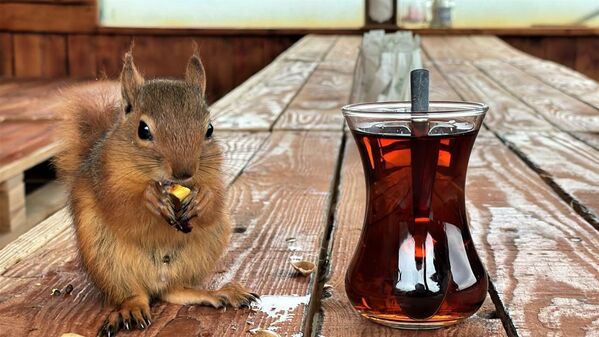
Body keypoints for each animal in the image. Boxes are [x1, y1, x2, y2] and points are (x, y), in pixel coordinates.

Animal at [52, 48, 256, 336]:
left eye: (210, 129)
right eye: (143, 129)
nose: (184, 173)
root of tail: (156, 281)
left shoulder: (213, 174)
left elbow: (216, 201)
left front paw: (204, 198)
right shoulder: (104, 178)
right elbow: (121, 206)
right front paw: (149, 198)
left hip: (208, 243)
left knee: (174, 291)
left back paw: (217, 293)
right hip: (103, 256)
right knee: (132, 293)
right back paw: (131, 308)